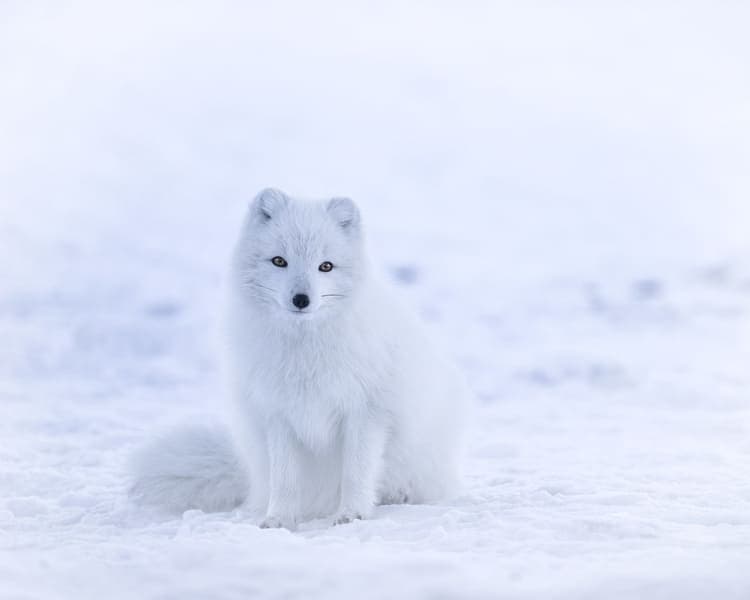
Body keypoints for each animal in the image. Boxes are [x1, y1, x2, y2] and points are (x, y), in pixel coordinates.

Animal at [130, 188, 469, 528]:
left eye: (326, 266)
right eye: (280, 261)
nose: (301, 299)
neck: (305, 350)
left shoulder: (366, 412)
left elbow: (356, 472)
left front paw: (351, 514)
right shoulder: (278, 414)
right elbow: (285, 479)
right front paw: (278, 519)